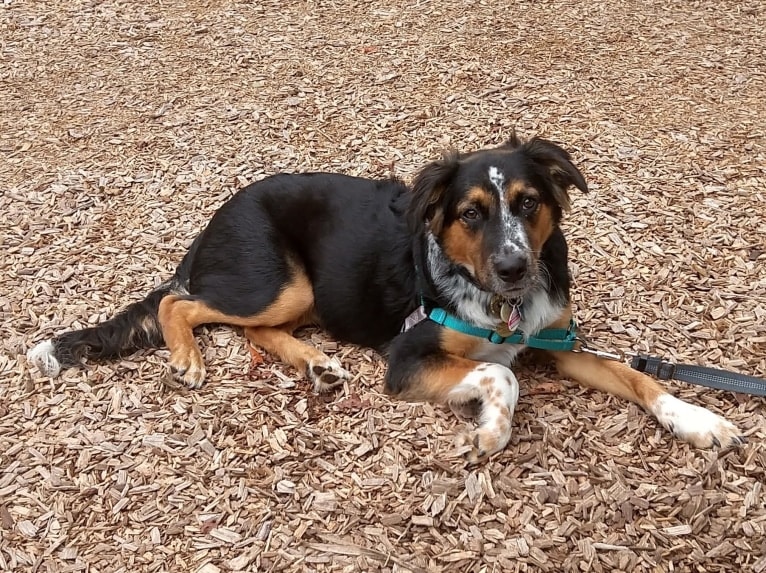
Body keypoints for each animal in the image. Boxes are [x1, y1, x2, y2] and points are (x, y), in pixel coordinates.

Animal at [28, 133, 744, 460]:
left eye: (528, 203)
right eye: (471, 213)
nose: (515, 268)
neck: (500, 304)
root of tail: (218, 216)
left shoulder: (554, 337)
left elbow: (637, 376)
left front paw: (697, 419)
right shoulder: (407, 359)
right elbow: (499, 374)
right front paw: (490, 431)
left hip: (297, 294)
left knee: (248, 326)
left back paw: (315, 365)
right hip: (277, 280)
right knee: (182, 303)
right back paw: (187, 358)